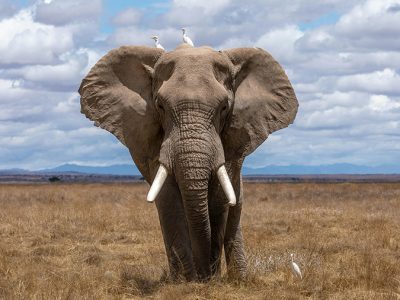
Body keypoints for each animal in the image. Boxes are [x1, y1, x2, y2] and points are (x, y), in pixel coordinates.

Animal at [78, 42, 298, 282]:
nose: (205, 275)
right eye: (160, 106)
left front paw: (209, 279)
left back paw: (239, 278)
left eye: (224, 107)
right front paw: (186, 282)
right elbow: (168, 199)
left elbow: (219, 200)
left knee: (235, 206)